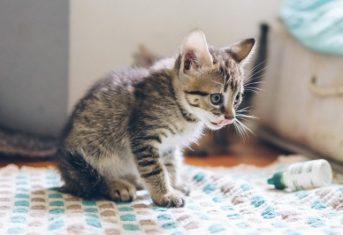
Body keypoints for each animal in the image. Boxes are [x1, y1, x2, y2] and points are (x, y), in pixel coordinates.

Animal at [57, 29, 254, 207]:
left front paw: (174, 184)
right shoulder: (143, 136)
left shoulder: (168, 145)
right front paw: (165, 194)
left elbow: (170, 165)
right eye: (216, 98)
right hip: (84, 155)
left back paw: (133, 180)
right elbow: (154, 169)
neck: (179, 106)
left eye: (237, 98)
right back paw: (117, 185)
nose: (230, 118)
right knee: (90, 182)